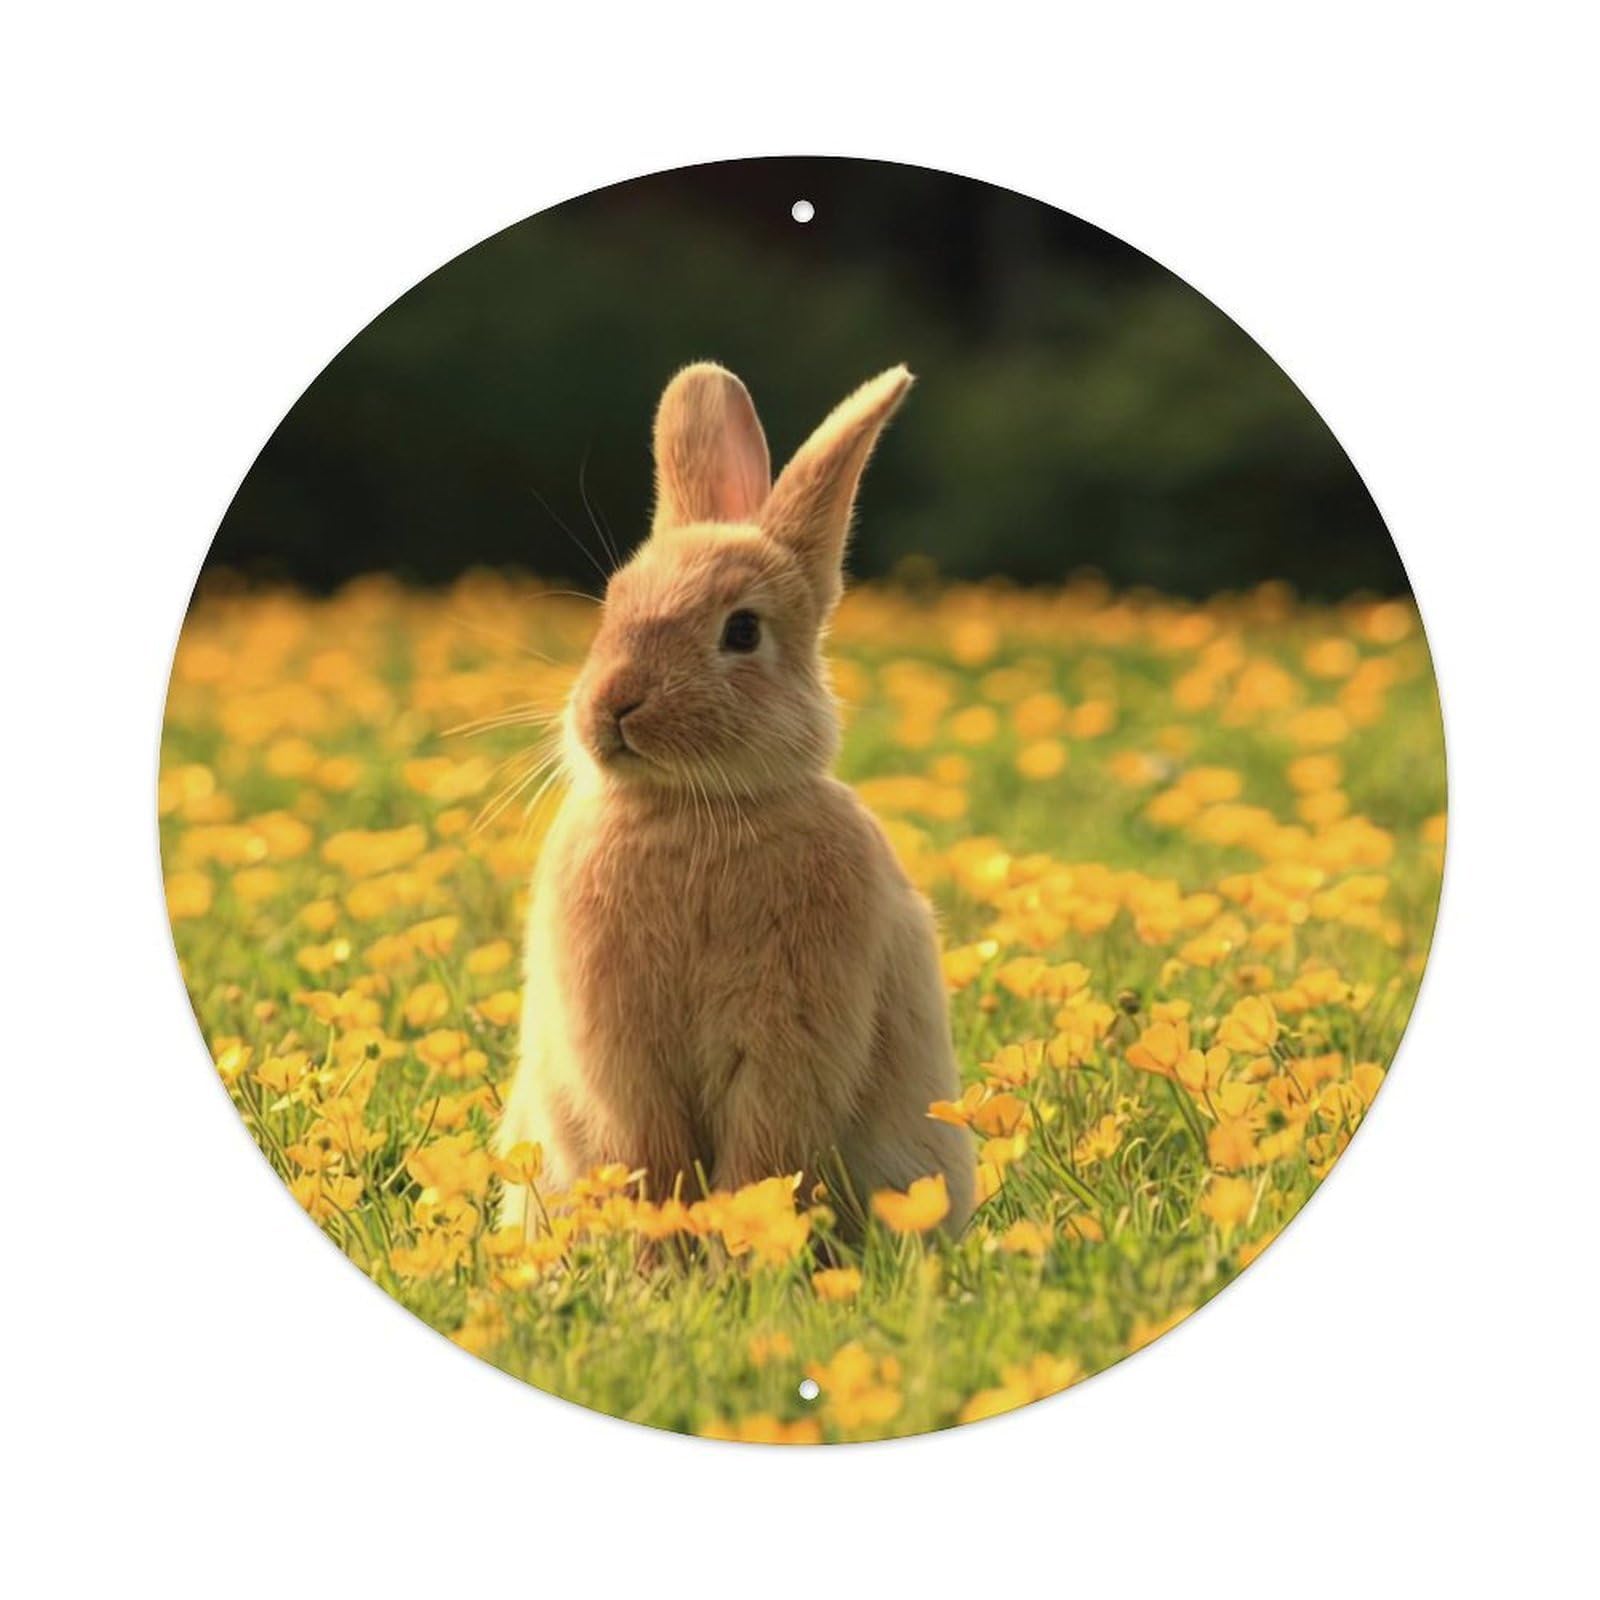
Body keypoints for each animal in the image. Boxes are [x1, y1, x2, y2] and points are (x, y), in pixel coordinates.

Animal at [494, 362, 975, 1237]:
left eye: (743, 631)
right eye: (614, 604)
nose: (613, 706)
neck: (689, 810)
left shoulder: (788, 1039)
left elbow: (759, 1159)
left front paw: (737, 1247)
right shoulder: (620, 1049)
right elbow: (646, 1154)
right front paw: (658, 1253)